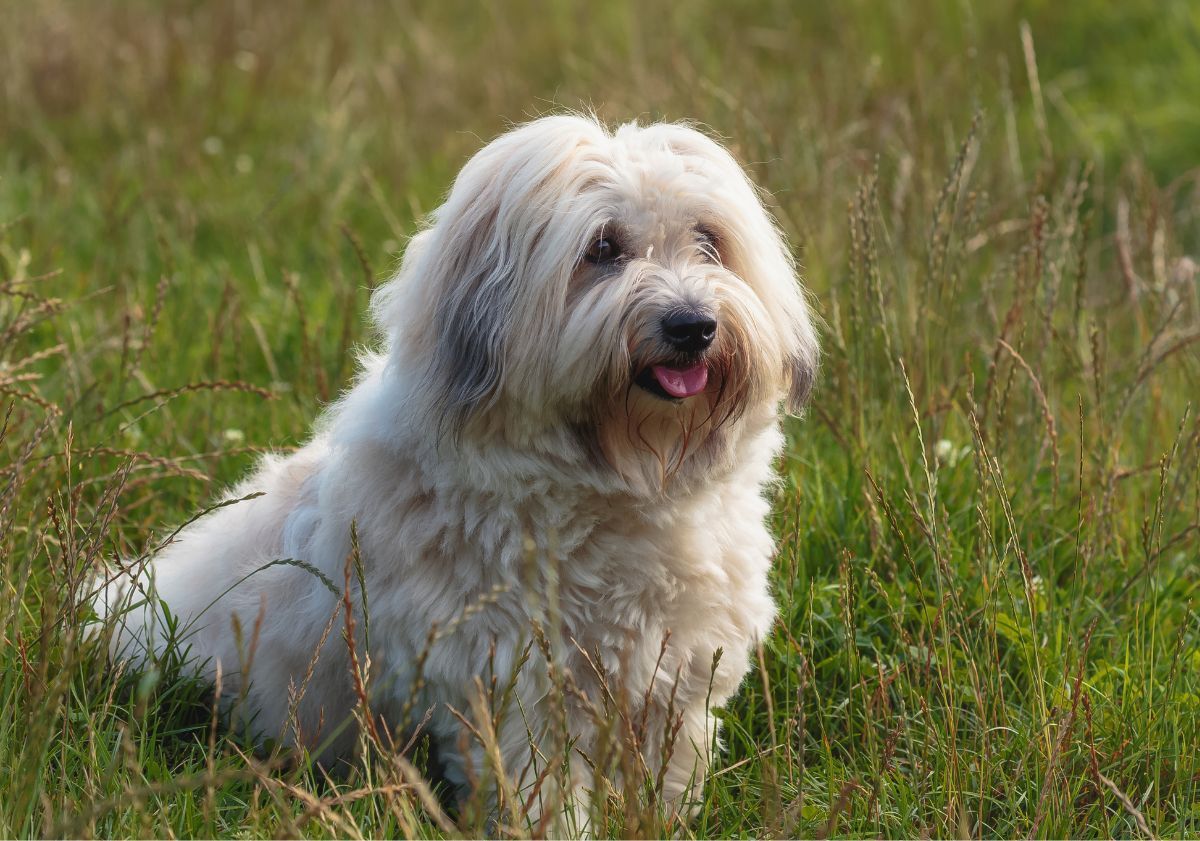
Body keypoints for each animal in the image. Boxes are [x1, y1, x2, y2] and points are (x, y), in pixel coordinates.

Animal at [100, 113, 816, 825]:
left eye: (708, 241)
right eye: (602, 248)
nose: (693, 325)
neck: (618, 484)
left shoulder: (677, 672)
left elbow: (666, 772)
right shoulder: (514, 683)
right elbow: (542, 790)